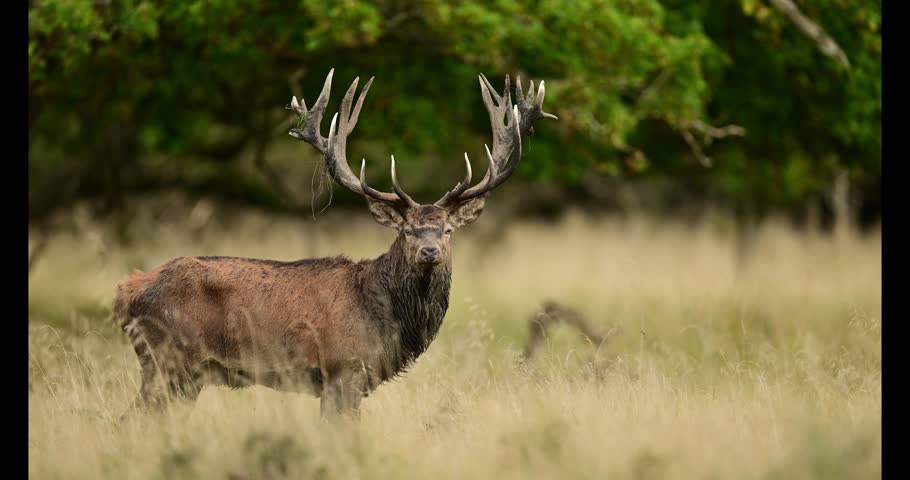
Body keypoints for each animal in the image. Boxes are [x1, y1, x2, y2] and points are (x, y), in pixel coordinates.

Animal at [112, 68, 556, 420]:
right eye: (406, 230)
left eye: (447, 230)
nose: (429, 252)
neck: (389, 320)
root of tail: (125, 291)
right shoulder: (342, 370)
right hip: (168, 361)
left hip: (179, 373)